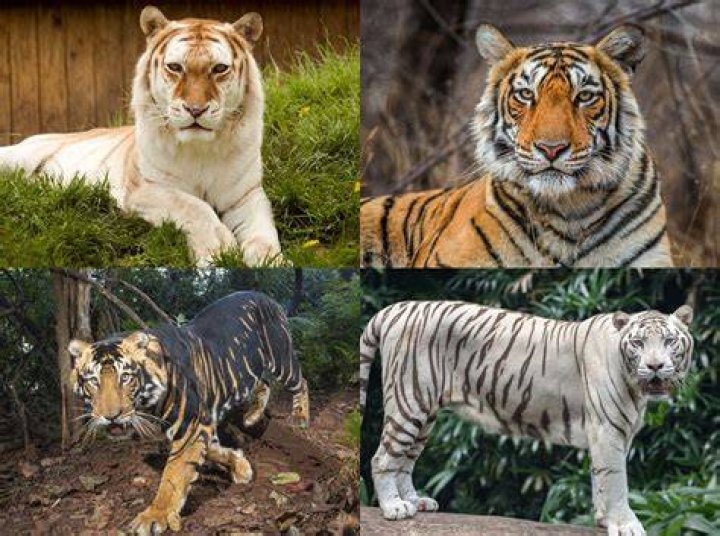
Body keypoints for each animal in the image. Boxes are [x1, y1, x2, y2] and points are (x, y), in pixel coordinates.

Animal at [0, 6, 282, 267]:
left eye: (219, 68)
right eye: (175, 67)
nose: (195, 109)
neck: (200, 149)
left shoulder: (246, 196)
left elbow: (264, 232)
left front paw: (272, 261)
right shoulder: (146, 189)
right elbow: (194, 206)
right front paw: (218, 249)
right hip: (18, 157)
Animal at [69, 291, 310, 535]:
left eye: (125, 377)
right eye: (93, 381)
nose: (111, 416)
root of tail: (266, 297)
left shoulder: (191, 425)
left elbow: (173, 475)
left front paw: (155, 516)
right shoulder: (199, 424)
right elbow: (212, 450)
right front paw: (240, 466)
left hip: (282, 358)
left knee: (301, 382)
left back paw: (300, 417)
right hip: (251, 366)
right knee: (263, 382)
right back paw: (252, 415)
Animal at [359, 301, 694, 535]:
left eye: (669, 341)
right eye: (638, 343)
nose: (654, 366)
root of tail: (395, 308)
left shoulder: (612, 434)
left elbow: (600, 479)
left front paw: (602, 520)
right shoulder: (608, 431)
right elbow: (615, 481)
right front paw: (625, 524)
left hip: (424, 414)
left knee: (405, 461)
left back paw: (415, 502)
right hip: (409, 403)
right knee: (382, 458)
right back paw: (394, 507)